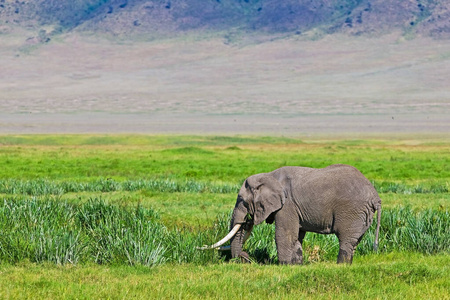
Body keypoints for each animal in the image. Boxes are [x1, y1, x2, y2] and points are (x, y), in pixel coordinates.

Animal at [202, 164, 382, 264]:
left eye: (242, 201)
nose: (246, 258)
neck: (269, 176)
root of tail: (375, 196)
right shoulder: (295, 207)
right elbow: (297, 236)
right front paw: (296, 265)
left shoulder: (287, 205)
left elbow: (284, 234)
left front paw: (284, 265)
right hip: (362, 213)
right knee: (354, 241)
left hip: (352, 211)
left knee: (346, 239)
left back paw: (341, 265)